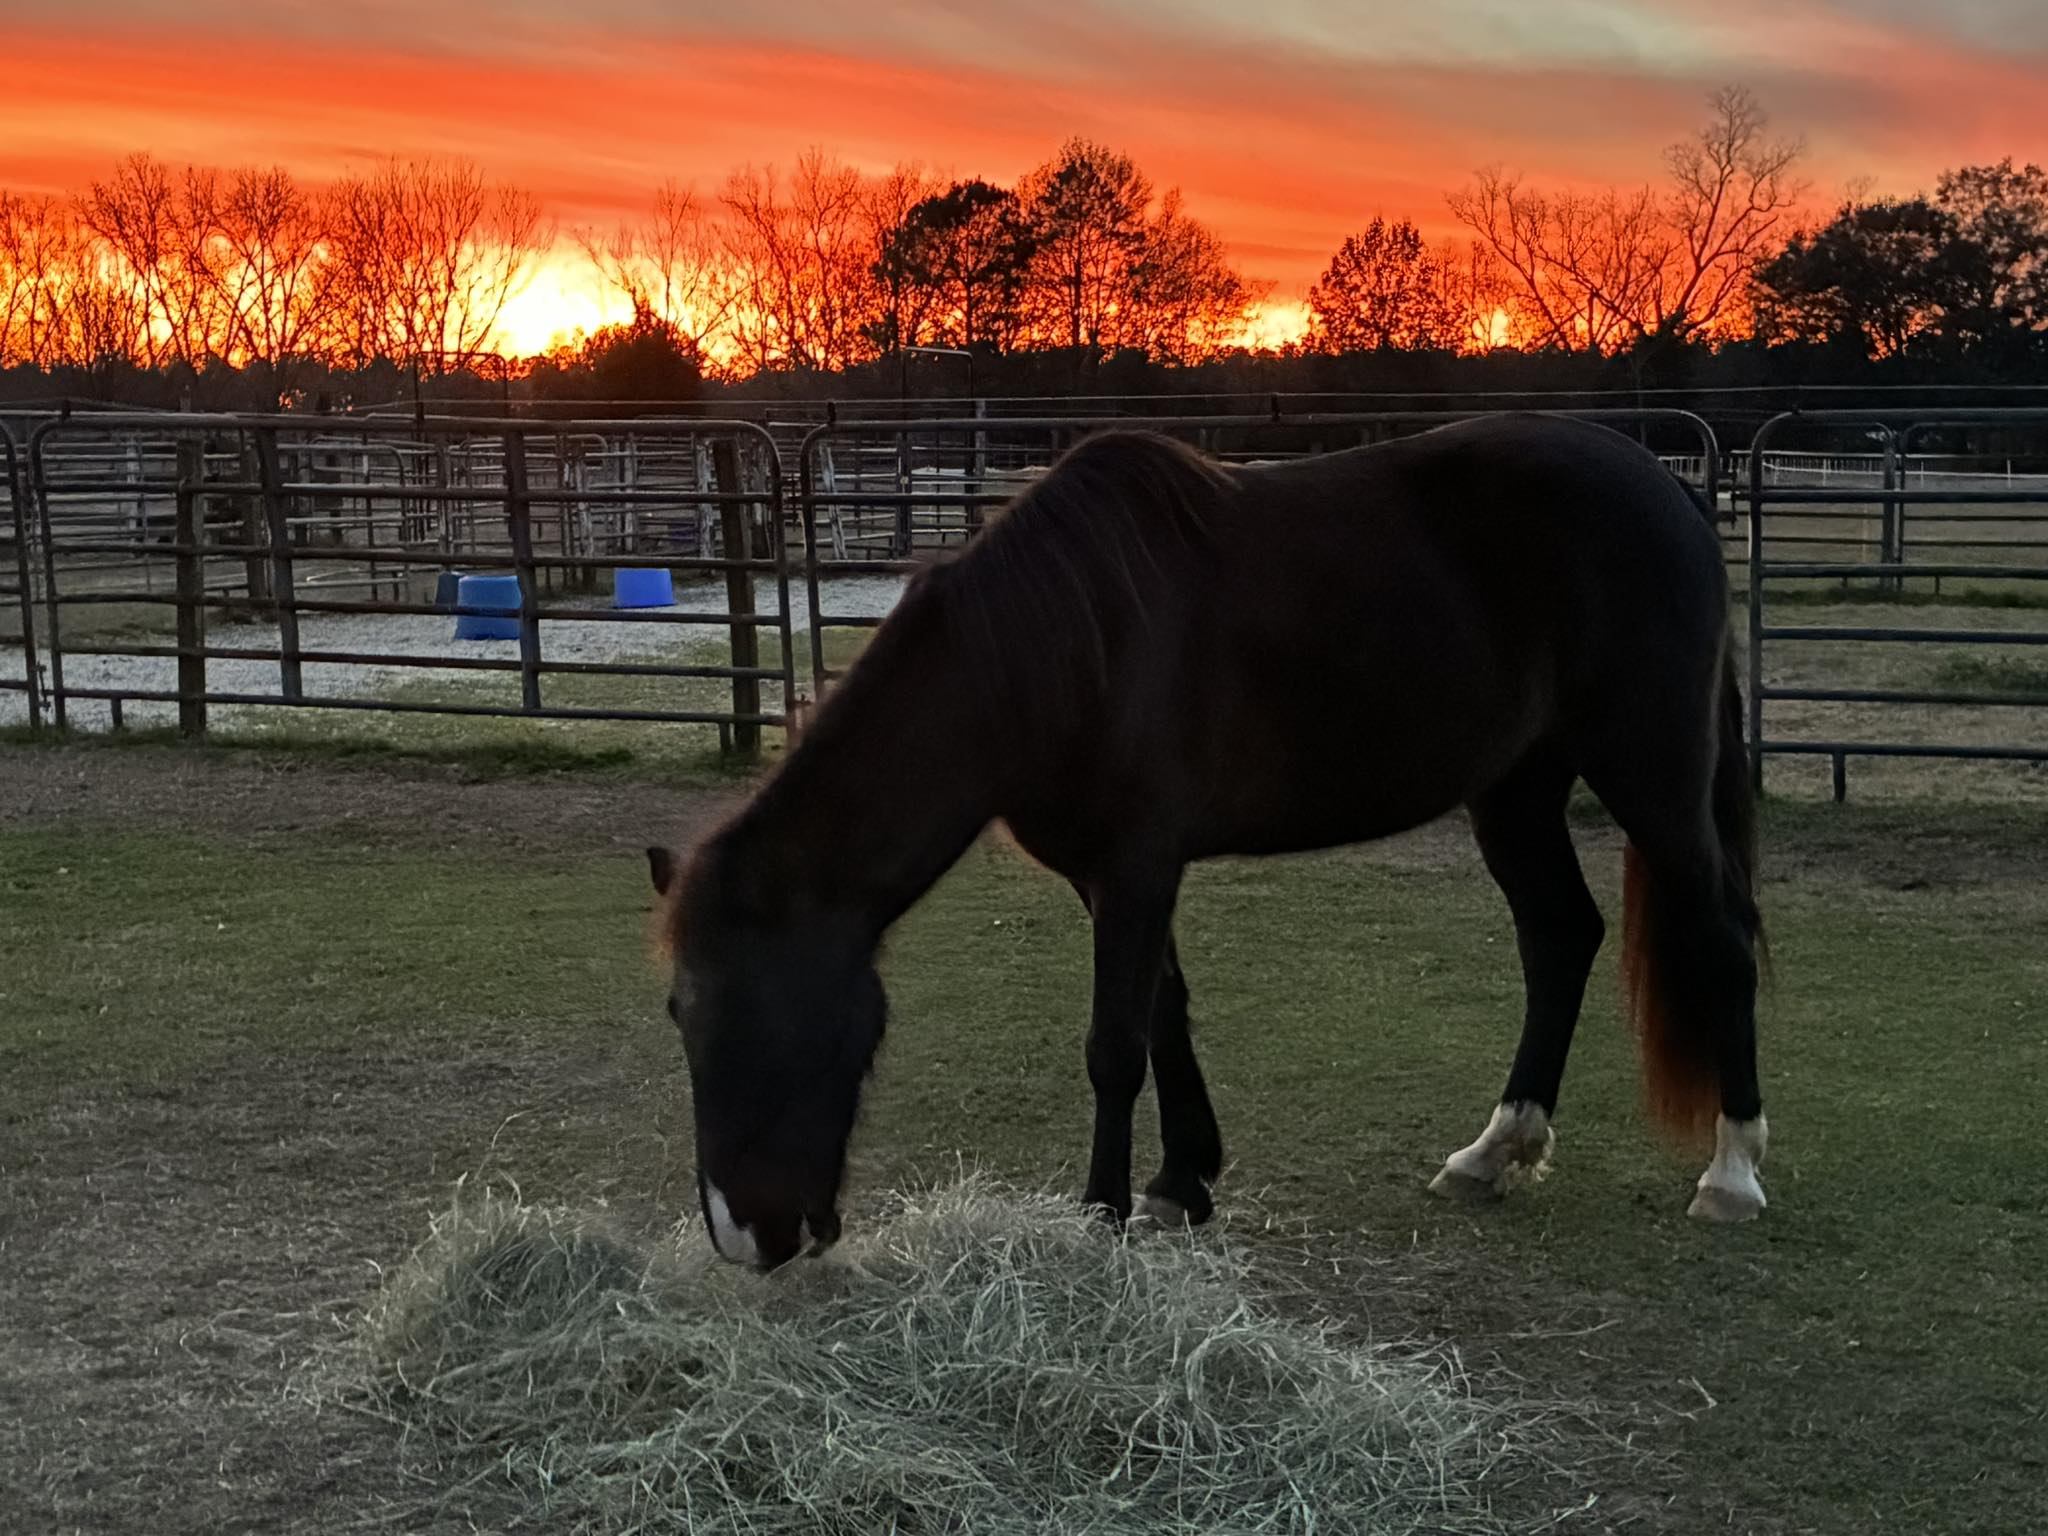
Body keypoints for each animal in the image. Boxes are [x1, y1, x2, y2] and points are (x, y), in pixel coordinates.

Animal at [646, 414, 1766, 1270]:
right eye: (680, 1017)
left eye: (760, 1020)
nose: (744, 1238)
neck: (1063, 647)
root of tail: (1672, 493)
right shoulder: (1118, 875)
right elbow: (1164, 1016)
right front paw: (1180, 1183)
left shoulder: (1137, 864)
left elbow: (1113, 1044)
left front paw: (1097, 1216)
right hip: (1519, 789)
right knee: (1559, 936)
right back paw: (1495, 1150)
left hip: (1650, 772)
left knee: (1718, 939)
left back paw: (1732, 1170)